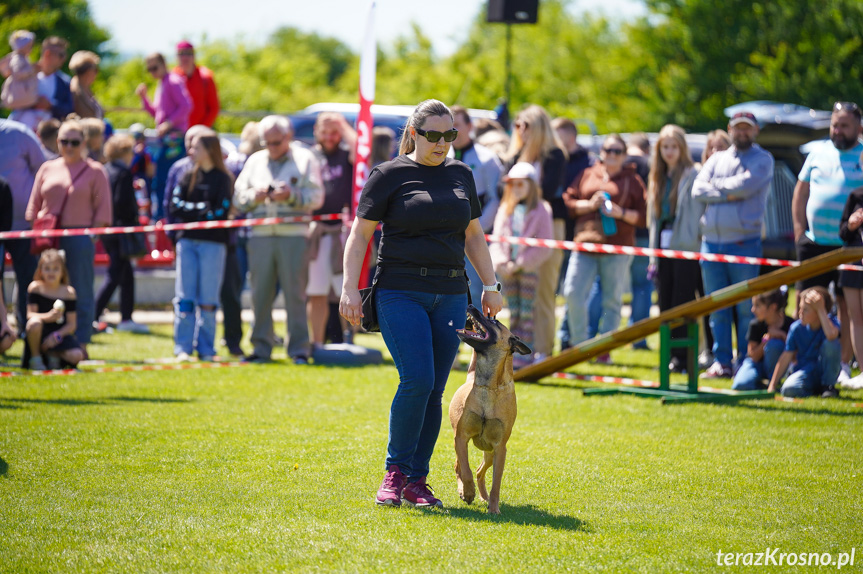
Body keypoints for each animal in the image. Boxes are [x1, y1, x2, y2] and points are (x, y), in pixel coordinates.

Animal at [448, 308, 528, 516]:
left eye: (496, 322)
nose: (471, 307)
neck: (488, 387)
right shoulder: (461, 438)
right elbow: (465, 471)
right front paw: (468, 493)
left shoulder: (500, 448)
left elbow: (496, 484)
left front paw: (494, 508)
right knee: (460, 468)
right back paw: (464, 490)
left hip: (490, 453)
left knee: (479, 471)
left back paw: (483, 497)